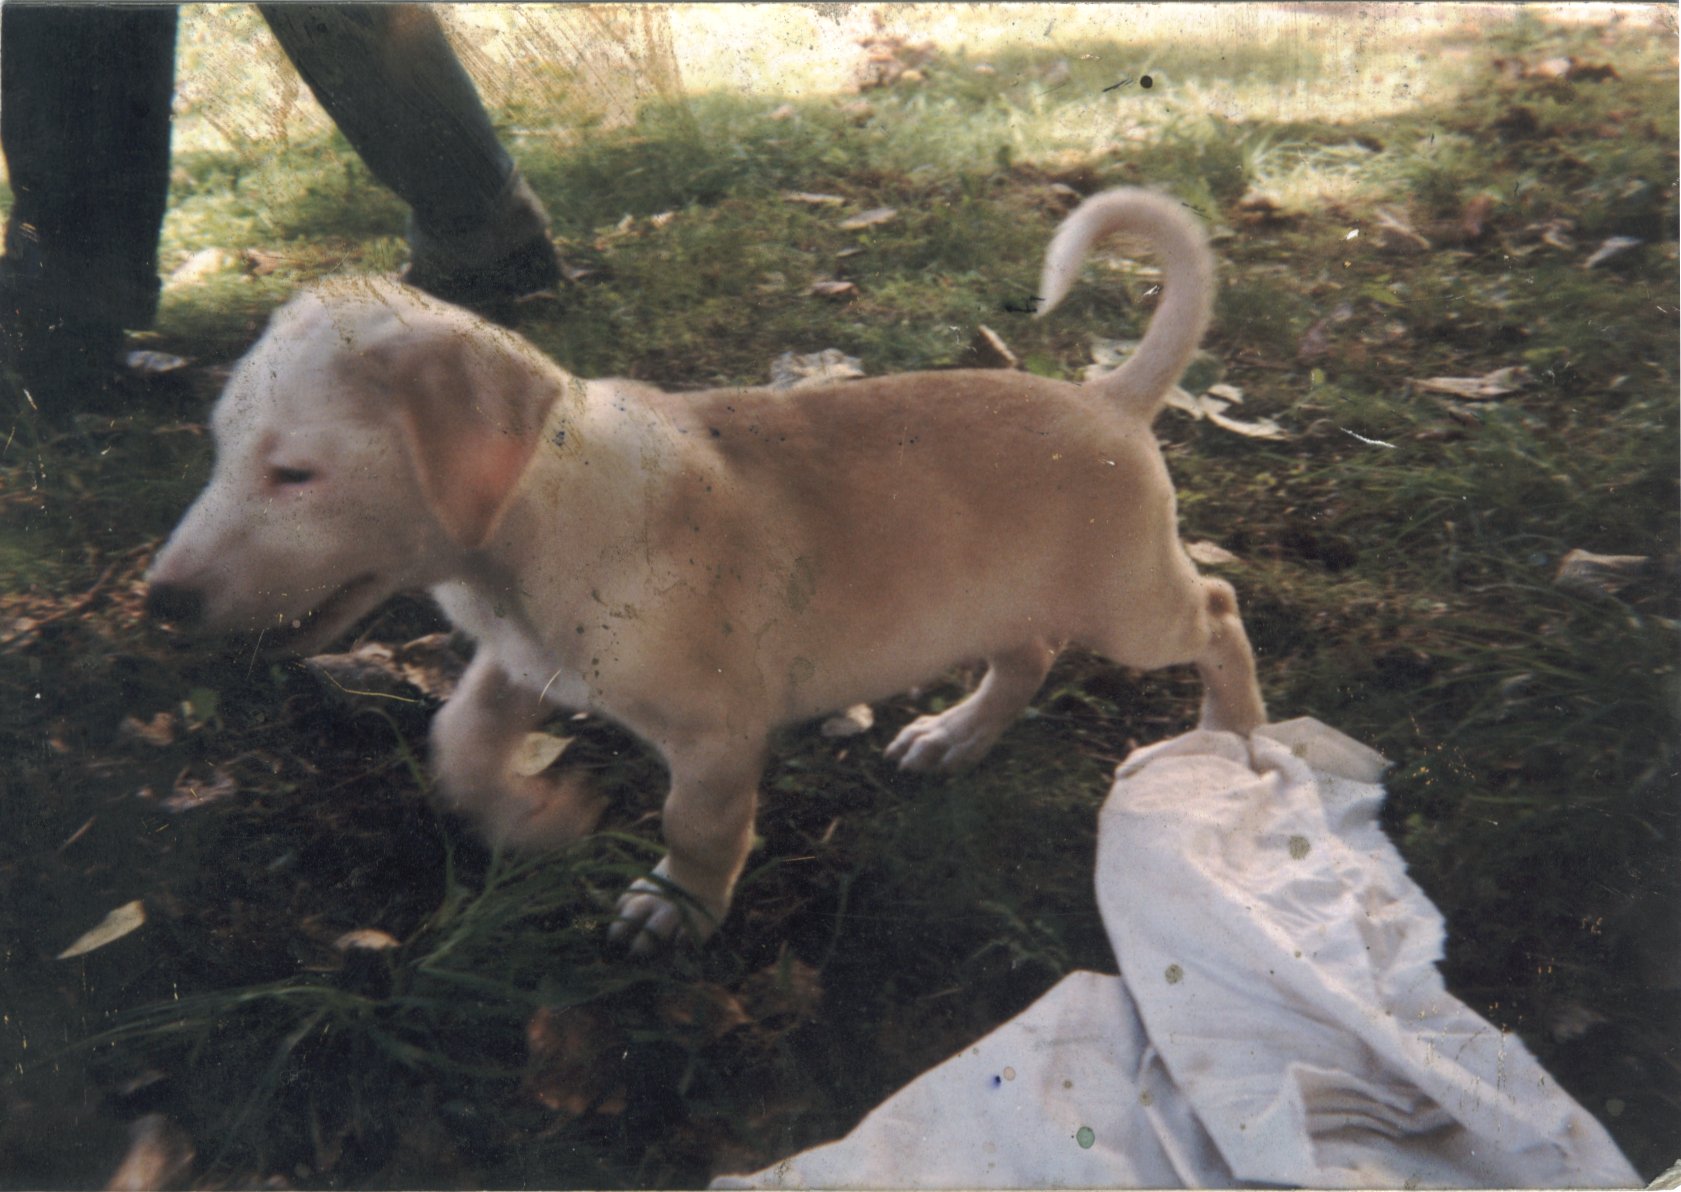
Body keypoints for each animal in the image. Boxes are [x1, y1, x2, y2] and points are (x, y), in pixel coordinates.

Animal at [147, 188, 1264, 948]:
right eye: (218, 448)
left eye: (294, 473)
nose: (157, 603)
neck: (536, 533)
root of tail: (1108, 398)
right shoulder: (521, 663)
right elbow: (456, 737)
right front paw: (535, 815)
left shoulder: (718, 735)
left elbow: (698, 823)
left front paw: (674, 907)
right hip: (1001, 597)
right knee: (1026, 654)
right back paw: (955, 736)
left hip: (1131, 604)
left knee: (1216, 607)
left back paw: (1233, 732)